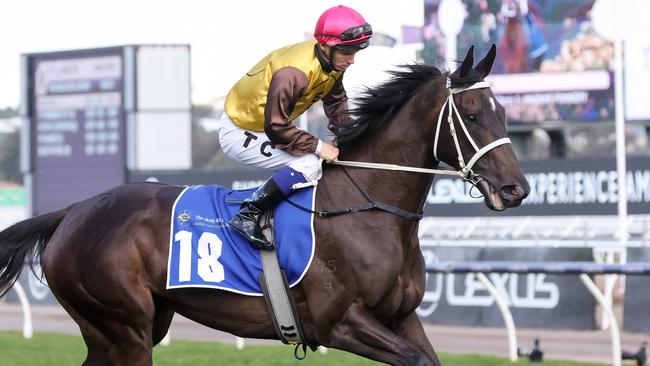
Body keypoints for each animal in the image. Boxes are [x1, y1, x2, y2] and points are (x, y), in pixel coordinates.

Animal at [0, 45, 528, 366]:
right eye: (473, 115)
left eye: (504, 112)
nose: (517, 189)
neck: (368, 207)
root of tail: (72, 212)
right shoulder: (340, 322)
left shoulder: (401, 318)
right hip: (122, 326)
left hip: (136, 324)